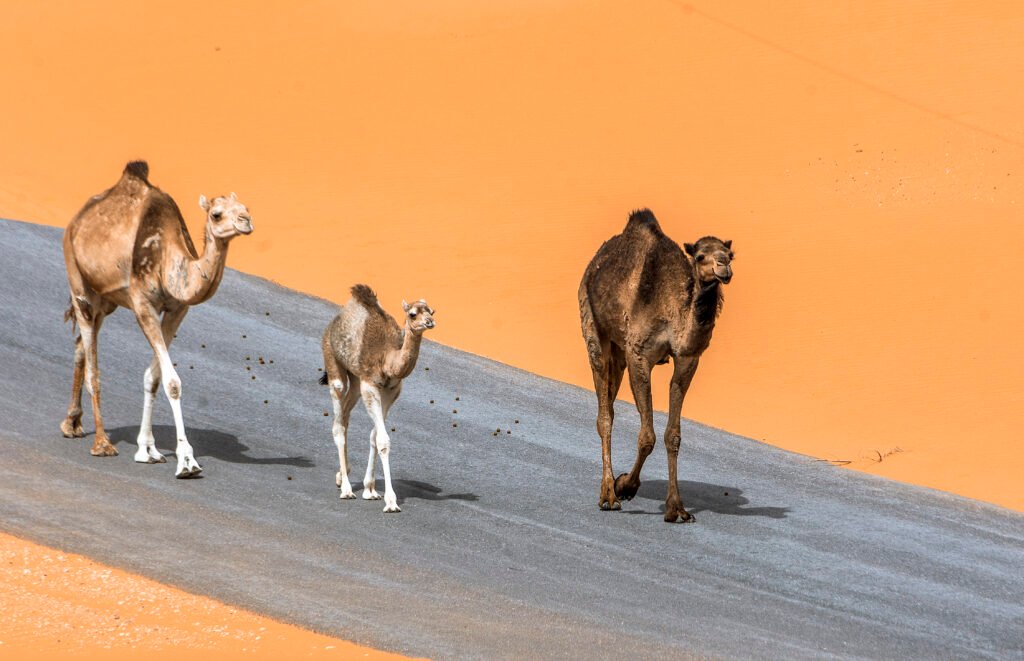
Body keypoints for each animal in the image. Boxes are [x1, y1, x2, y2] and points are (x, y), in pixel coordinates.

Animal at [60, 161, 253, 477]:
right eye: (216, 213)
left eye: (246, 206)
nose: (246, 220)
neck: (168, 261)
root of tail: (77, 219)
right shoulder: (143, 304)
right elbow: (172, 382)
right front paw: (186, 461)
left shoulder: (177, 309)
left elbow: (153, 378)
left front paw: (147, 449)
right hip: (78, 280)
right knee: (92, 366)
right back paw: (101, 443)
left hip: (106, 300)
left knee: (80, 346)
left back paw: (72, 424)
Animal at [319, 284, 435, 513]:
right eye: (412, 313)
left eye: (431, 311)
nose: (430, 322)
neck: (387, 359)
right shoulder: (370, 385)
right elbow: (383, 440)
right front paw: (391, 502)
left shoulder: (392, 390)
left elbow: (374, 436)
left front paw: (370, 490)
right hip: (333, 362)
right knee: (338, 423)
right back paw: (346, 489)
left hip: (356, 380)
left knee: (345, 415)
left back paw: (341, 476)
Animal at [578, 209, 734, 522]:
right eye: (700, 255)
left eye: (730, 254)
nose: (723, 267)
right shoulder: (639, 354)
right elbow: (647, 436)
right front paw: (625, 486)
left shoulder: (688, 359)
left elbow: (672, 436)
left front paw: (677, 509)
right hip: (594, 327)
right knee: (604, 415)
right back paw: (608, 495)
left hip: (618, 351)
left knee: (609, 402)